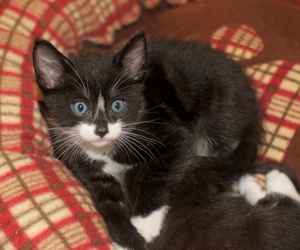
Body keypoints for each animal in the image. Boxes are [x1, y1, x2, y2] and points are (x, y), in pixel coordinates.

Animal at [32, 30, 266, 248]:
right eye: (80, 107)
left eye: (118, 105)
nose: (101, 130)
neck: (105, 150)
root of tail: (253, 103)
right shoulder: (84, 167)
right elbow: (108, 205)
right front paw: (128, 240)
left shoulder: (173, 135)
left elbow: (158, 175)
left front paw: (145, 222)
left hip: (218, 114)